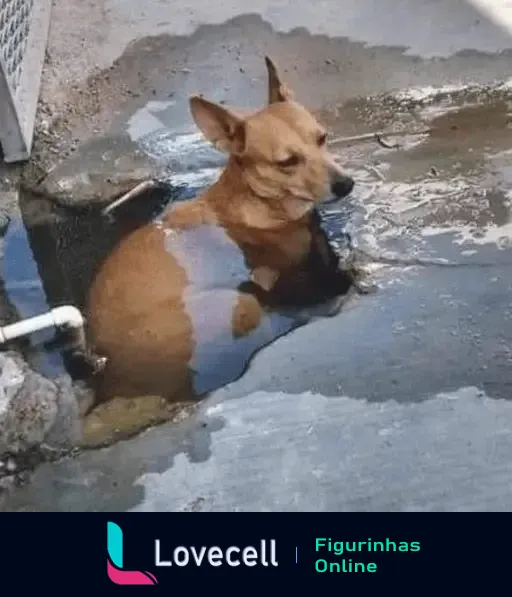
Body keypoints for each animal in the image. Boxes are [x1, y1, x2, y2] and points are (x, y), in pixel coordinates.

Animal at [82, 58, 358, 440]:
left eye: (322, 137)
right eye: (287, 161)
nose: (345, 184)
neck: (255, 203)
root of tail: (109, 380)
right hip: (240, 305)